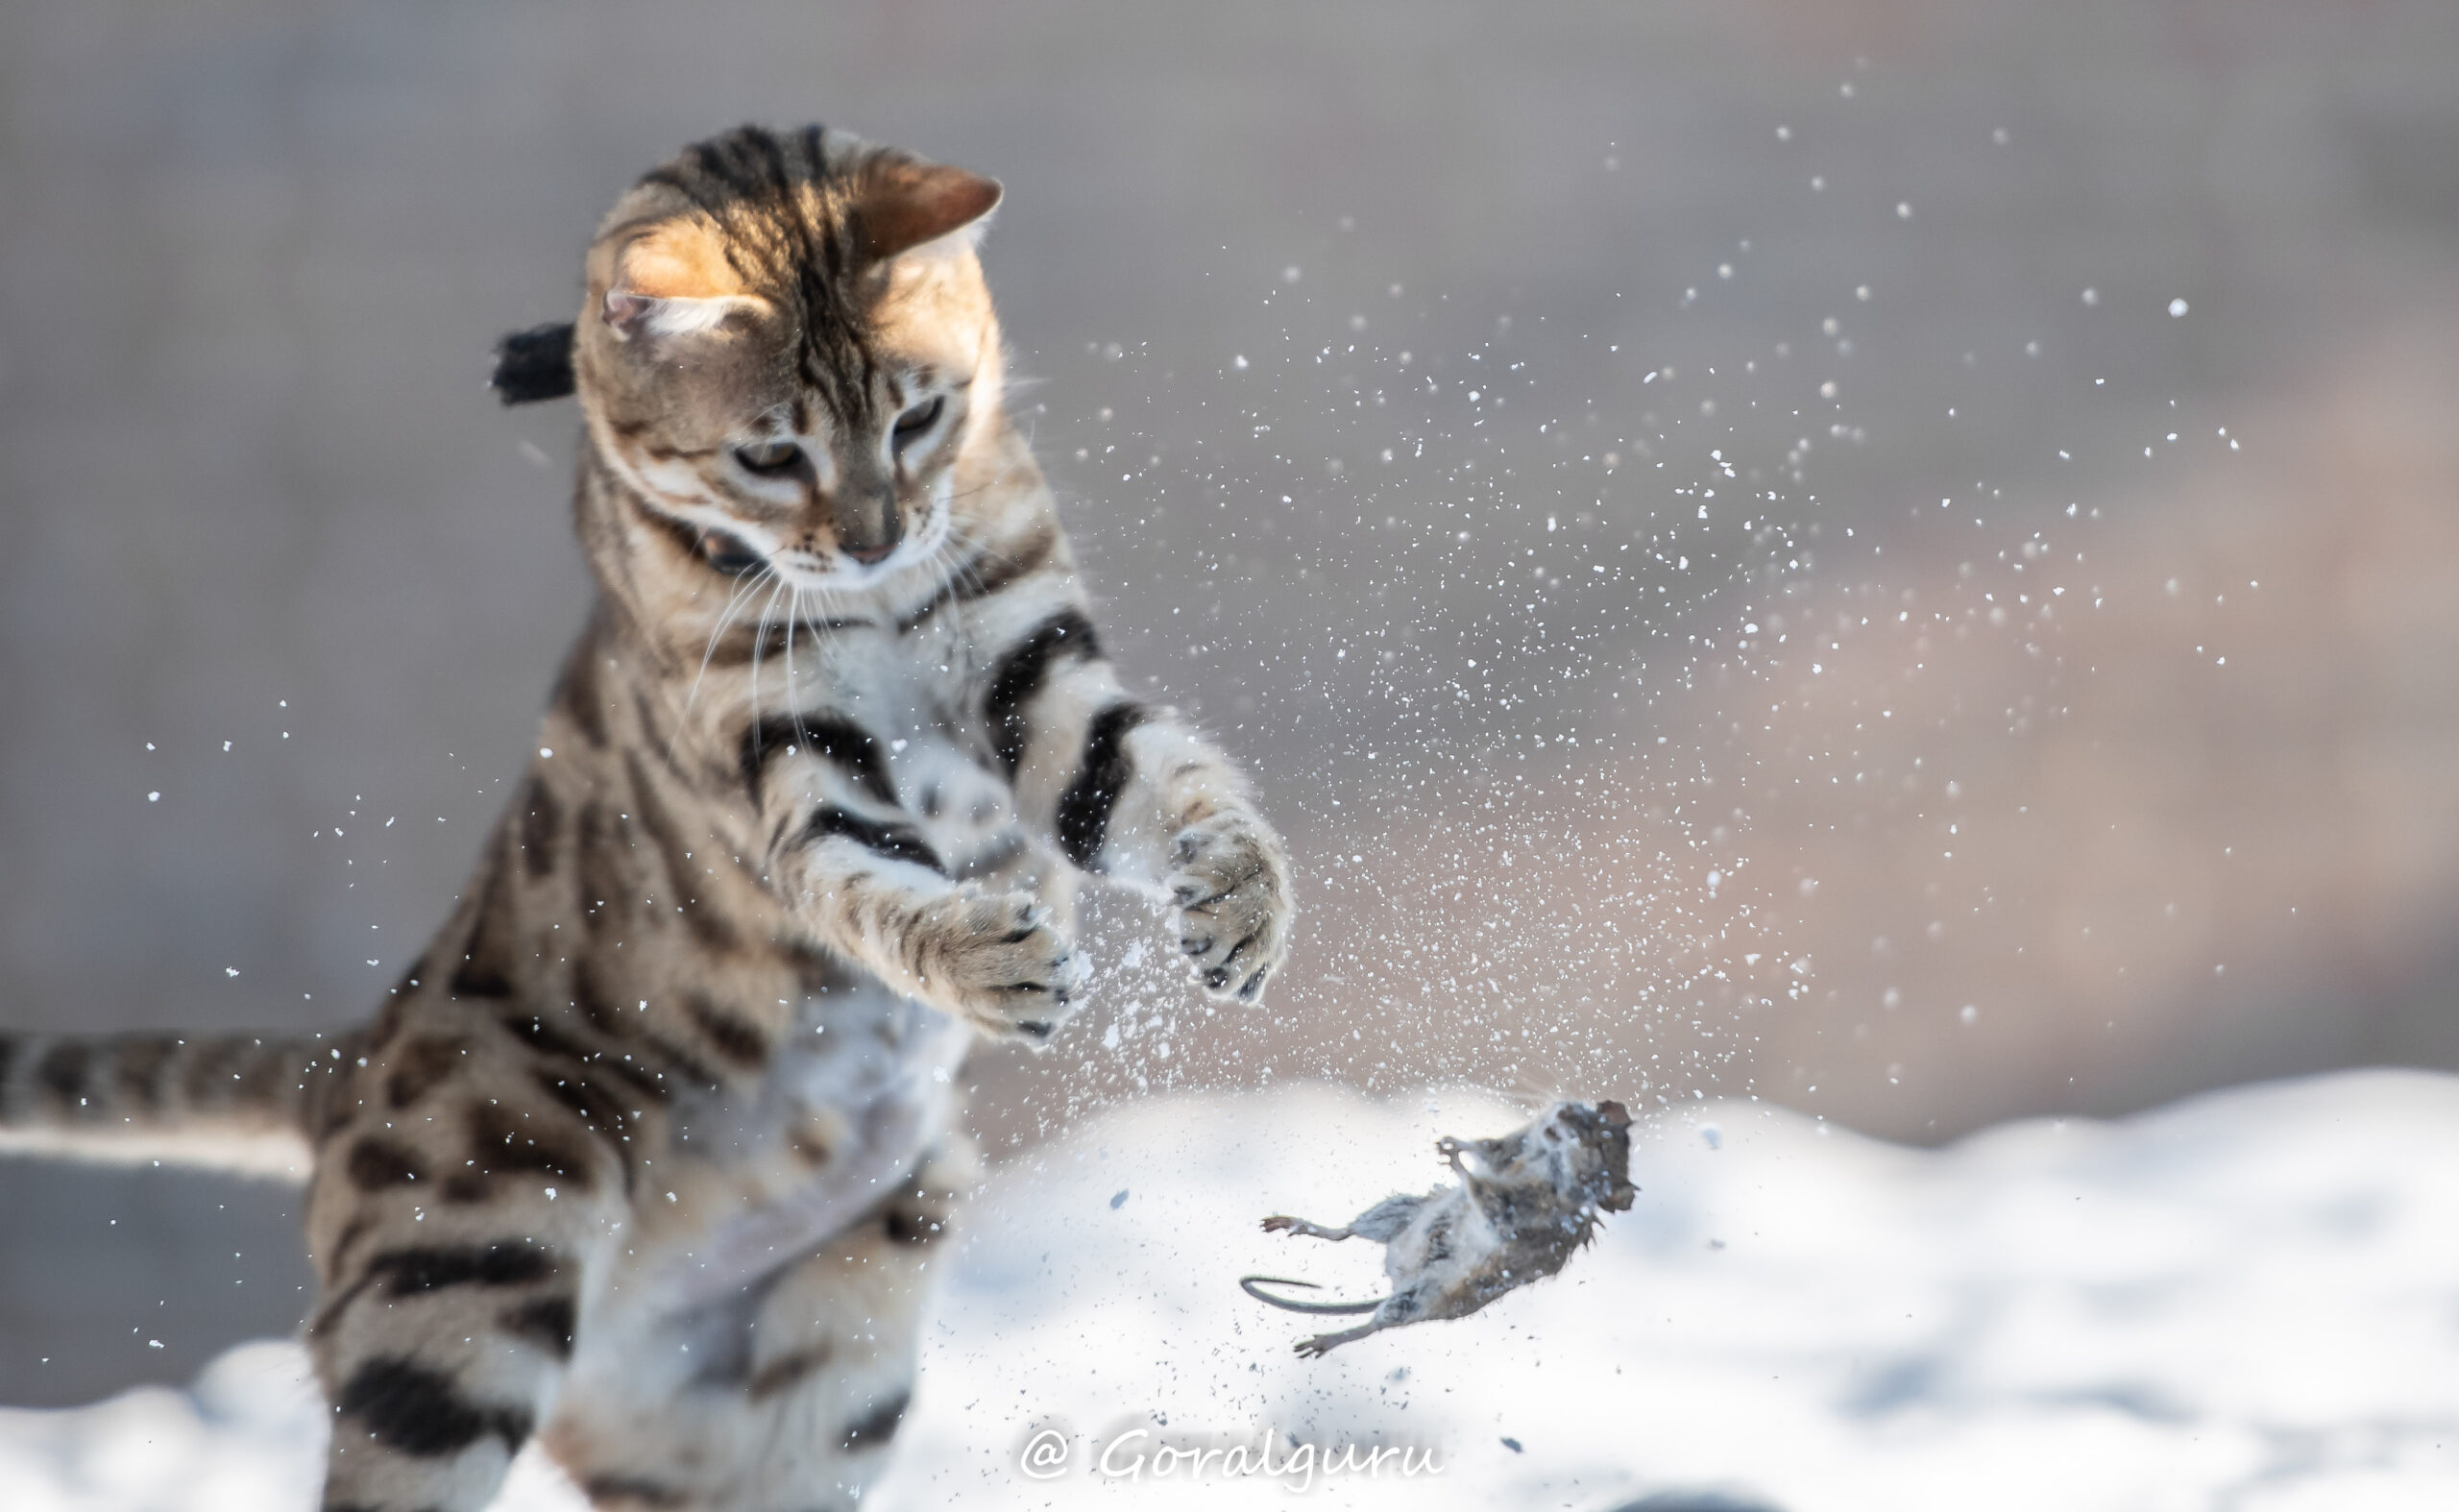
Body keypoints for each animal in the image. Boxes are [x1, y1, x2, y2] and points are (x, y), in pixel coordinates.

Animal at [0, 124, 1298, 1504]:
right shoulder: (789, 755)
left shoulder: (1029, 665)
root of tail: (346, 1068)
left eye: (919, 414)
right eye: (771, 454)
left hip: (812, 1378)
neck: (875, 600)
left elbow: (1157, 773)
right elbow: (871, 883)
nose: (877, 540)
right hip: (465, 1285)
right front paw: (991, 959)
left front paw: (1241, 902)